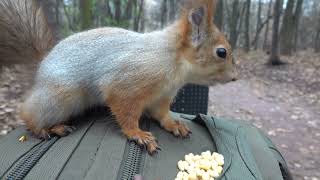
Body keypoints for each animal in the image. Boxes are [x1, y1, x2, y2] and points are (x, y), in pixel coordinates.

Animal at [0, 0, 238, 155]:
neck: (173, 61)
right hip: (61, 97)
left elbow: (161, 114)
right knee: (29, 113)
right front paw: (137, 134)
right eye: (221, 52)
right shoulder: (125, 84)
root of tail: (44, 60)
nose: (236, 77)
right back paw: (46, 128)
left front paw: (173, 124)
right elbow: (126, 112)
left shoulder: (161, 97)